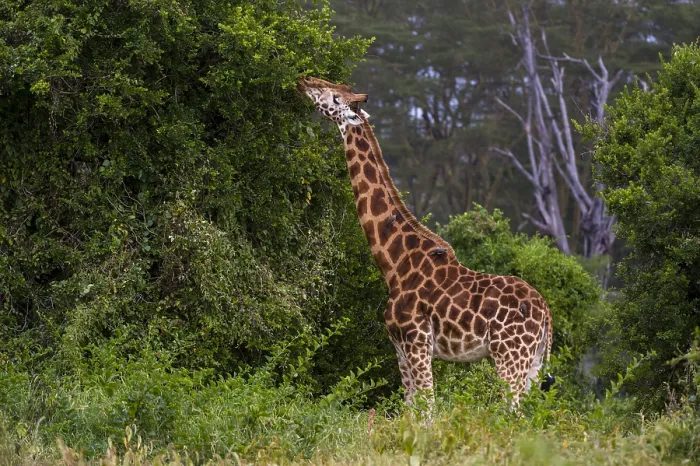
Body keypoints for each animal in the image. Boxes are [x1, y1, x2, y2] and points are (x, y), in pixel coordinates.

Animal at [297, 76, 553, 405]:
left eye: (333, 96)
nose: (304, 80)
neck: (394, 264)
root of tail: (546, 312)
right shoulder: (399, 346)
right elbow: (410, 406)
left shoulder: (417, 340)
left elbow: (428, 407)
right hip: (533, 360)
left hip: (510, 355)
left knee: (511, 410)